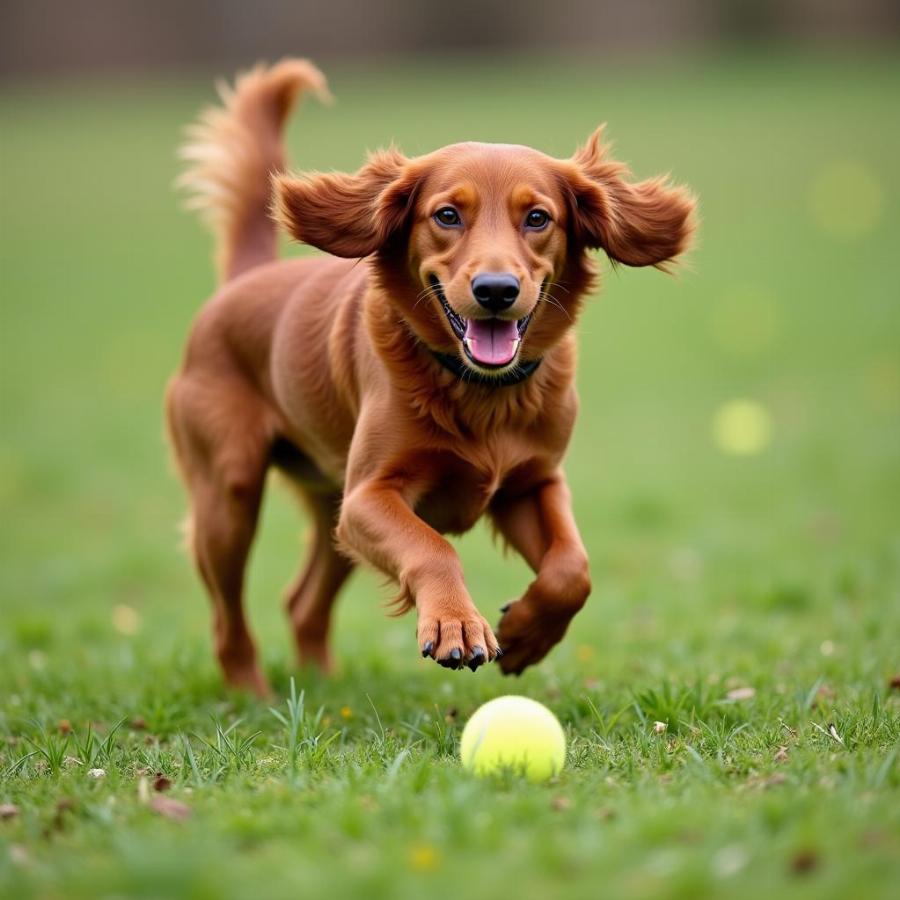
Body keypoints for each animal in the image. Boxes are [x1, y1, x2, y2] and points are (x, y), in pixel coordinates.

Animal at [163, 58, 696, 696]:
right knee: (229, 618)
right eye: (447, 215)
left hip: (329, 510)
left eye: (537, 218)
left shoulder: (533, 482)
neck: (481, 392)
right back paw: (253, 696)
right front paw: (456, 623)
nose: (496, 291)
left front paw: (527, 635)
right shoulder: (368, 496)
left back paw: (322, 685)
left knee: (303, 603)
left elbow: (574, 568)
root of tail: (248, 278)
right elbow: (432, 546)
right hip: (232, 495)